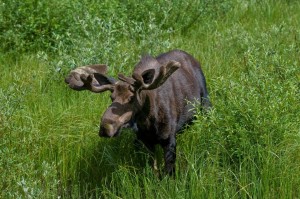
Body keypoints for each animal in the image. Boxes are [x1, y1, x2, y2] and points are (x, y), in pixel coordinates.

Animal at [65, 50, 211, 176]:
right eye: (111, 97)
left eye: (131, 98)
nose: (105, 128)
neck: (148, 122)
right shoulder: (145, 141)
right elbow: (154, 170)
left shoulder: (169, 140)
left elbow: (169, 173)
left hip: (206, 103)